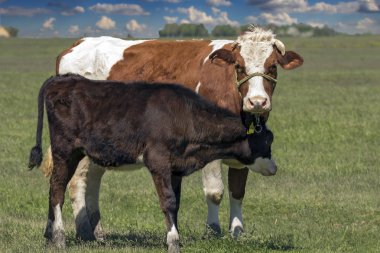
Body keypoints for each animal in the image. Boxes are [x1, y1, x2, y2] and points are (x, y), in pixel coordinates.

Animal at [41, 26, 302, 240]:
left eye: (272, 67)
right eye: (239, 66)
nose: (257, 102)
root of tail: (78, 43)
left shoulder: (244, 147)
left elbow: (237, 190)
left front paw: (237, 232)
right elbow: (215, 192)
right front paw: (213, 231)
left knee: (93, 179)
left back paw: (97, 232)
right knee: (78, 180)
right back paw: (84, 230)